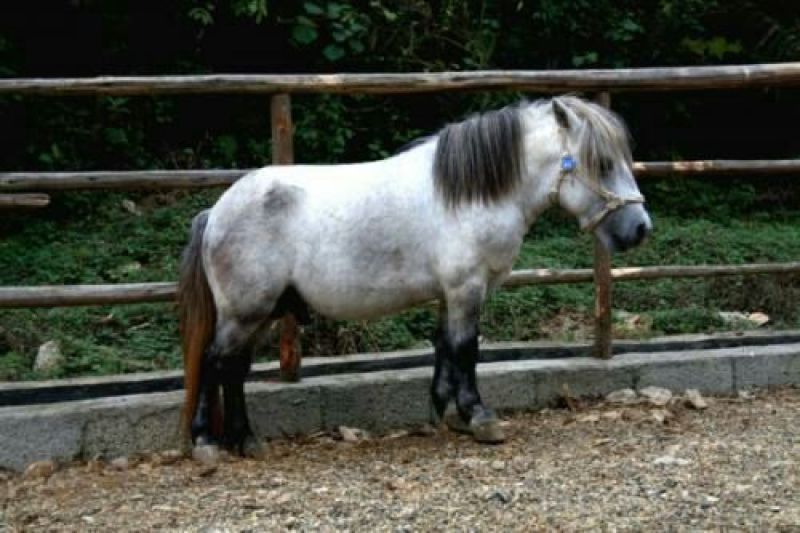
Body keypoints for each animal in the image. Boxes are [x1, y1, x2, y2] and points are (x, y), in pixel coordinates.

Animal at [178, 95, 652, 456]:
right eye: (602, 163)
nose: (640, 228)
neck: (469, 194)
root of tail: (215, 212)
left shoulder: (450, 293)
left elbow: (444, 346)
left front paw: (445, 412)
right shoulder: (466, 288)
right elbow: (466, 349)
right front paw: (478, 416)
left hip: (261, 314)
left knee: (233, 369)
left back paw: (245, 440)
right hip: (246, 313)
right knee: (214, 362)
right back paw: (207, 442)